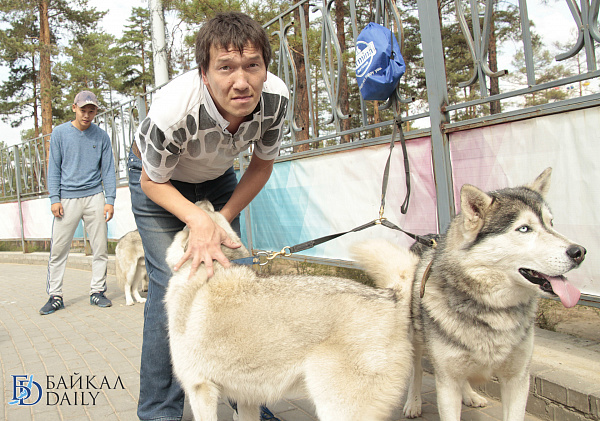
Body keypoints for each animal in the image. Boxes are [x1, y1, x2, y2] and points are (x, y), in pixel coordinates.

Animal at [165, 201, 415, 421]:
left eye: (201, 216)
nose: (203, 199)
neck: (212, 270)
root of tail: (389, 296)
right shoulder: (247, 397)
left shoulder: (200, 388)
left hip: (336, 406)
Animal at [402, 167, 586, 421]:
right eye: (524, 228)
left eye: (551, 223)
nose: (580, 252)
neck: (493, 308)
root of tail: (428, 238)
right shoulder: (446, 382)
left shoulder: (517, 379)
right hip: (416, 340)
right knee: (417, 369)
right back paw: (413, 402)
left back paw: (470, 395)